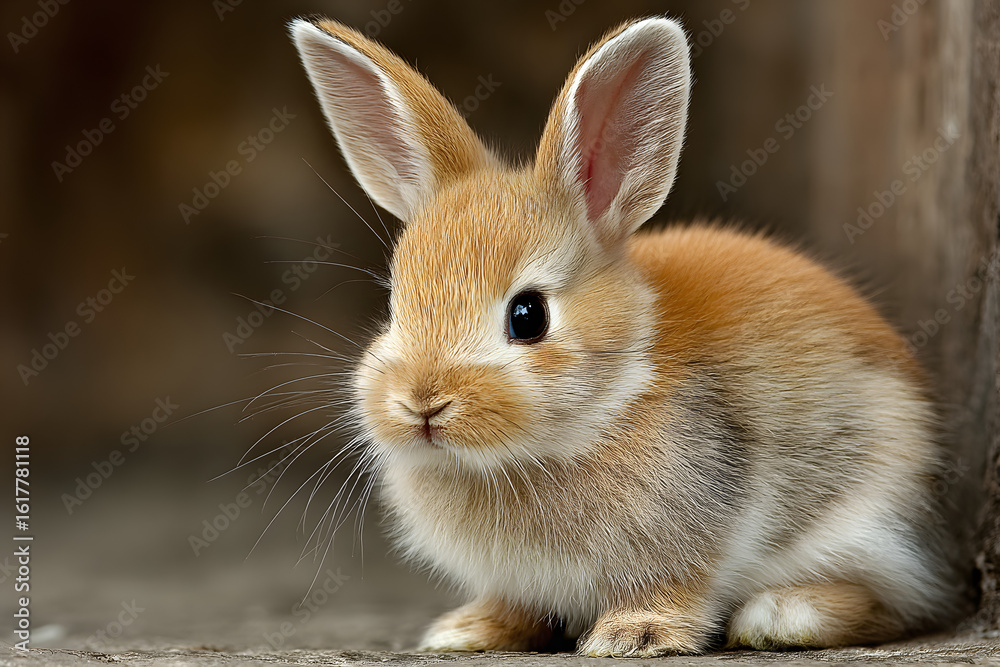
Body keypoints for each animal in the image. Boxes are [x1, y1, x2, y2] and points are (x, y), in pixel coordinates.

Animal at [289, 15, 958, 656]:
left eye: (528, 315)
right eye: (394, 304)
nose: (421, 405)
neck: (611, 399)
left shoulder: (698, 534)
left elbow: (679, 586)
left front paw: (633, 636)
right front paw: (468, 631)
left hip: (873, 525)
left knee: (899, 604)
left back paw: (782, 617)